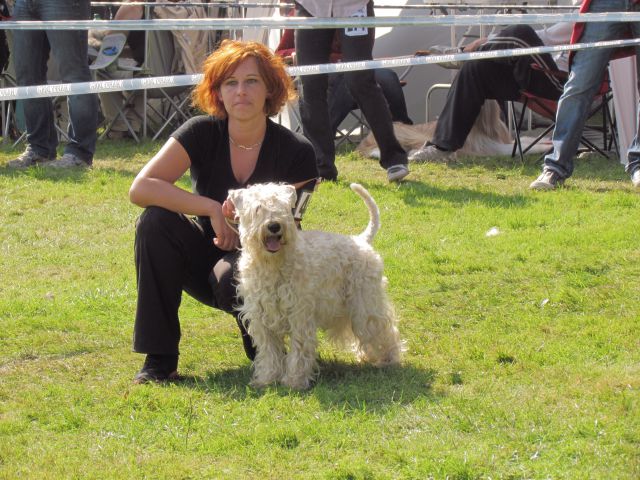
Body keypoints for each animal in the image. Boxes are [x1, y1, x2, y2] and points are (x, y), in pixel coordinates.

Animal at [228, 183, 402, 390]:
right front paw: (267, 379)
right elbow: (269, 351)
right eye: (258, 208)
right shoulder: (262, 317)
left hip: (365, 304)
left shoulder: (299, 314)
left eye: (284, 207)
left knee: (381, 329)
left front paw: (294, 382)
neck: (273, 264)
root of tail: (362, 240)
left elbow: (299, 348)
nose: (274, 226)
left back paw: (389, 359)